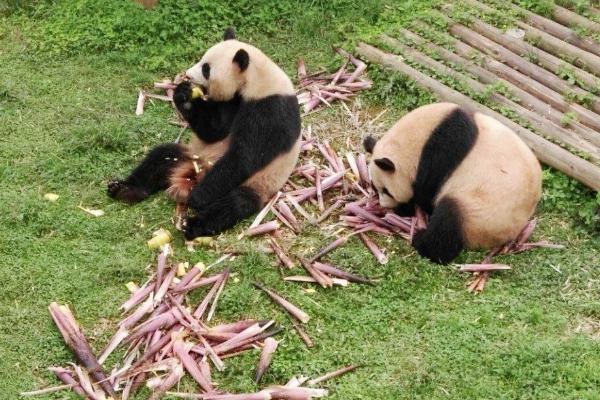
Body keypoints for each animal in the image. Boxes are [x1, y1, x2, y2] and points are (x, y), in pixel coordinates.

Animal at [108, 28, 300, 241]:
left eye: (206, 69)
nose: (187, 76)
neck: (256, 79)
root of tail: (192, 173)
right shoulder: (233, 102)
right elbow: (214, 131)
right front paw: (183, 95)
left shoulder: (270, 108)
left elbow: (245, 156)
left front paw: (197, 197)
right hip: (189, 154)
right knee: (159, 158)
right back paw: (124, 189)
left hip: (259, 183)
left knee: (233, 204)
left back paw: (191, 222)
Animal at [364, 103, 540, 264]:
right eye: (375, 187)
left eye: (387, 191)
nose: (384, 205)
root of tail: (508, 236)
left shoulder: (440, 156)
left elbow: (425, 194)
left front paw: (404, 209)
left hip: (482, 212)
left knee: (448, 219)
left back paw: (421, 241)